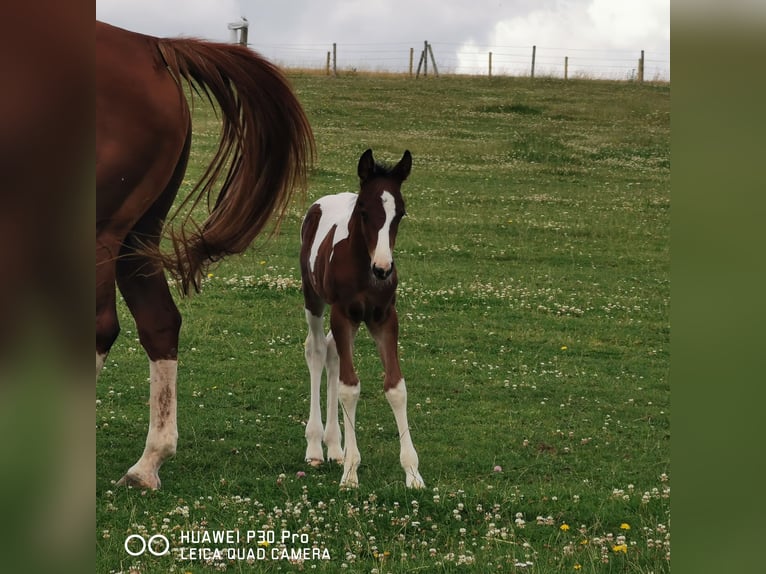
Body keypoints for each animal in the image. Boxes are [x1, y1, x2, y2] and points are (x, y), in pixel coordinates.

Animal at [97, 22, 316, 490]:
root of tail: (149, 45)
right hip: (137, 235)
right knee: (160, 322)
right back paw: (148, 464)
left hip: (102, 228)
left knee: (101, 328)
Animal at [300, 148, 426, 490]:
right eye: (364, 211)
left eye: (401, 213)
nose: (383, 269)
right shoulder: (343, 314)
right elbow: (350, 387)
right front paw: (351, 474)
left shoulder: (384, 318)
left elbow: (396, 387)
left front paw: (413, 473)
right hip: (314, 299)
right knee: (317, 350)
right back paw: (315, 447)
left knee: (332, 352)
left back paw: (334, 446)